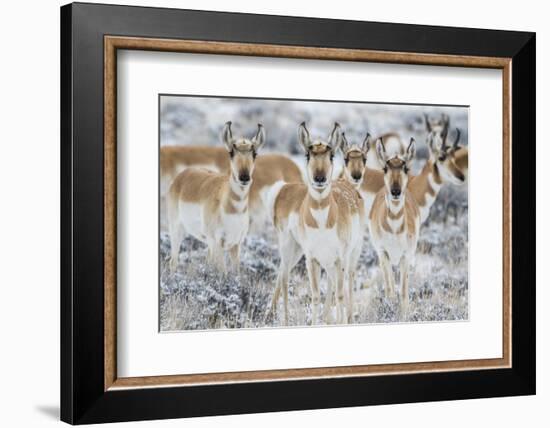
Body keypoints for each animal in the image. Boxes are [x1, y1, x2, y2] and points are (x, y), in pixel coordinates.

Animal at [166, 122, 268, 272]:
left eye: (255, 153)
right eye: (231, 152)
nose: (244, 177)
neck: (234, 210)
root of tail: (183, 175)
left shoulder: (235, 245)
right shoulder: (217, 244)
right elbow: (223, 272)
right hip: (176, 230)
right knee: (173, 262)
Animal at [268, 123, 366, 324]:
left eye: (331, 155)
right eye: (307, 154)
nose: (319, 178)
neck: (322, 223)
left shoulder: (337, 259)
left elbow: (339, 294)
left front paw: (337, 321)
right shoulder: (311, 259)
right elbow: (315, 295)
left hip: (350, 253)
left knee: (349, 279)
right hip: (290, 247)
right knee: (284, 276)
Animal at [370, 137, 422, 310]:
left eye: (405, 168)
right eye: (385, 168)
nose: (395, 191)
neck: (394, 229)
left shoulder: (406, 255)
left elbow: (404, 293)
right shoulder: (383, 253)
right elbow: (390, 289)